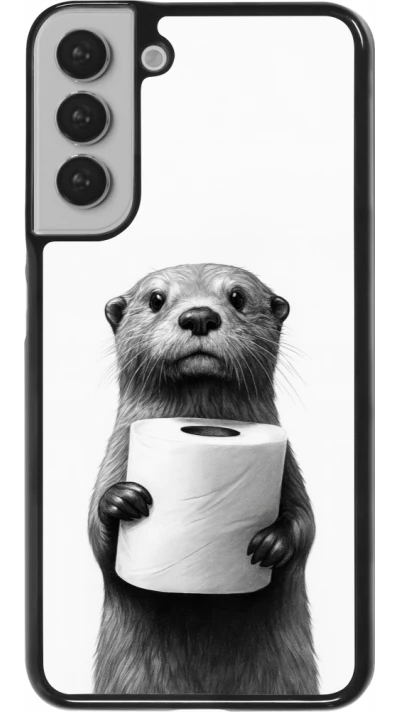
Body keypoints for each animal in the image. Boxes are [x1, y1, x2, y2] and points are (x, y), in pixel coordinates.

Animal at [88, 263, 318, 695]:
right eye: (156, 299)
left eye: (237, 297)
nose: (199, 316)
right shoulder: (115, 457)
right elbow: (96, 538)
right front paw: (121, 501)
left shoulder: (290, 468)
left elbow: (307, 524)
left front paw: (273, 542)